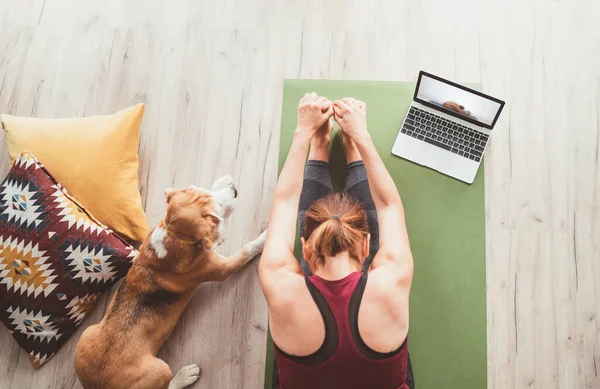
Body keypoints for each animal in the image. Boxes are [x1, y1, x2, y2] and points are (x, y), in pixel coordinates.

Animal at [74, 176, 266, 388]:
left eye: (203, 190)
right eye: (215, 213)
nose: (233, 189)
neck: (173, 235)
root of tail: (96, 384)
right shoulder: (224, 267)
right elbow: (248, 249)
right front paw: (266, 237)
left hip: (85, 335)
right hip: (160, 370)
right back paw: (185, 375)